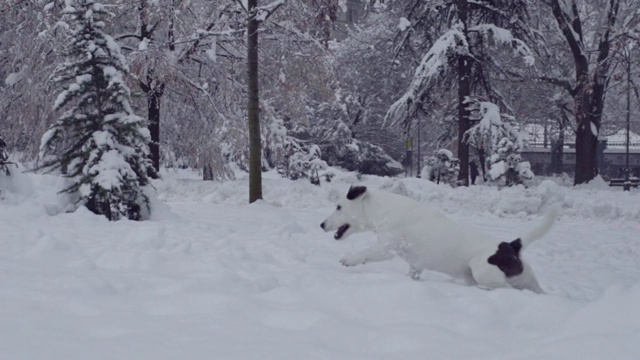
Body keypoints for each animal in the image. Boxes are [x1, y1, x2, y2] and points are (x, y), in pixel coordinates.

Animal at [320, 186, 560, 292]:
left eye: (339, 206)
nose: (322, 225)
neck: (383, 209)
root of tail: (510, 246)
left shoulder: (386, 247)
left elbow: (366, 253)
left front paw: (349, 259)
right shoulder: (415, 264)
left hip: (481, 271)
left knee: (505, 289)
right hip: (527, 281)